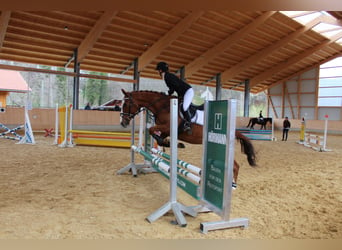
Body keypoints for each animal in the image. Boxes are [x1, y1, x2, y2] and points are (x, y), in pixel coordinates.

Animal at [120, 90, 256, 188]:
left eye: (125, 104)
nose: (123, 123)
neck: (163, 107)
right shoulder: (165, 131)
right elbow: (157, 137)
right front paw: (172, 144)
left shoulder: (167, 127)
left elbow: (152, 130)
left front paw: (176, 144)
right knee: (235, 165)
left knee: (235, 166)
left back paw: (232, 186)